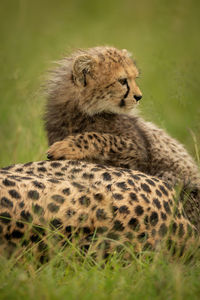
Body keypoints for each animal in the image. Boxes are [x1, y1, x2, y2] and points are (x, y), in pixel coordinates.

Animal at [43, 45, 200, 229]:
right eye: (122, 80)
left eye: (134, 78)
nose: (139, 96)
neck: (84, 111)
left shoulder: (136, 150)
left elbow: (100, 138)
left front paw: (65, 146)